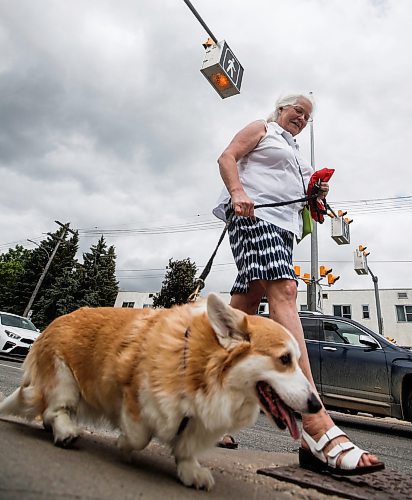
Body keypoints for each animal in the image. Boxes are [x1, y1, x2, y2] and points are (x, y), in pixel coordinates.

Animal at [0, 292, 320, 488]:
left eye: (297, 359)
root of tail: (53, 322)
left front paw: (191, 471)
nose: (317, 406)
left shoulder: (199, 421)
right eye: (284, 359)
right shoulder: (136, 395)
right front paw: (124, 446)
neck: (201, 366)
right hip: (64, 379)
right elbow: (139, 436)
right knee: (55, 409)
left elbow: (186, 447)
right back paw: (66, 431)